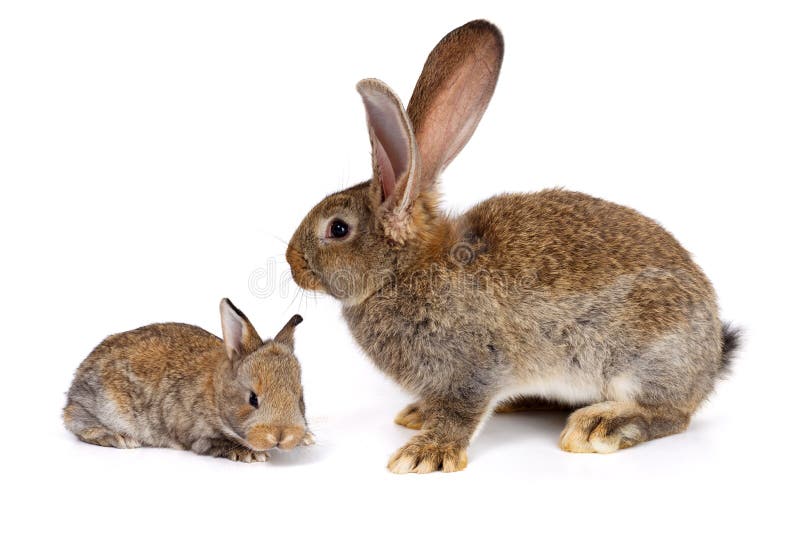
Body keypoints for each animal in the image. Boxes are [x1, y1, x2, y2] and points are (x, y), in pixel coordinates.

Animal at [64, 300, 314, 464]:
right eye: (253, 398)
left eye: (300, 398)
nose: (282, 436)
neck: (216, 393)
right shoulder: (195, 434)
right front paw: (251, 454)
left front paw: (307, 438)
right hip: (105, 405)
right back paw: (119, 438)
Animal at [286, 17, 736, 472]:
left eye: (337, 229)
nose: (292, 263)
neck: (406, 268)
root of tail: (711, 358)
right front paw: (419, 416)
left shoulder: (474, 365)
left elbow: (461, 411)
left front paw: (426, 453)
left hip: (644, 361)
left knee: (670, 414)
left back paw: (599, 426)